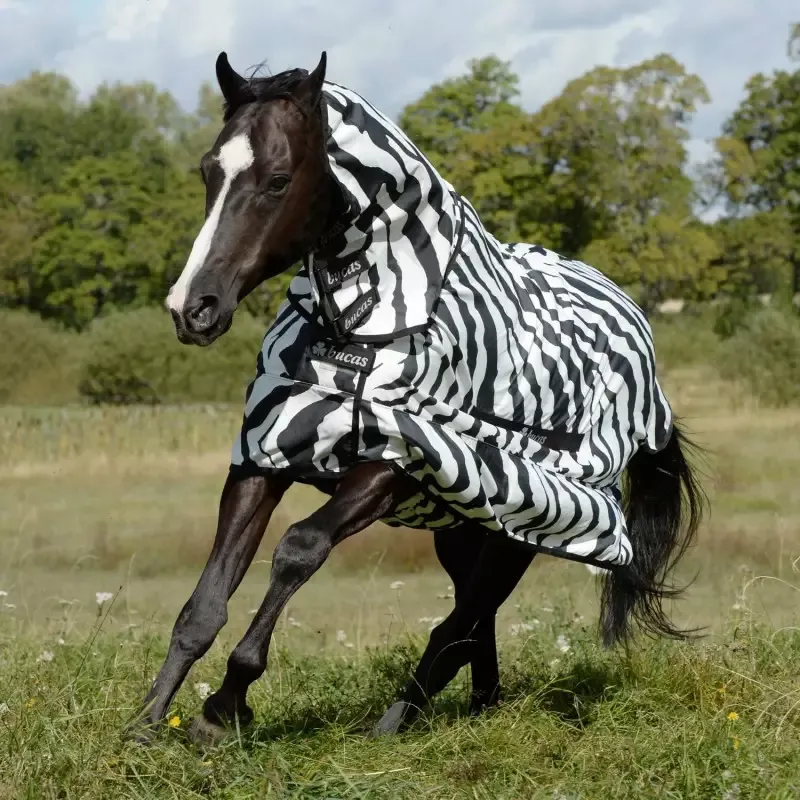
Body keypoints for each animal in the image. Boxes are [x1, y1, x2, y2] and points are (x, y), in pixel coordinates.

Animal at [128, 51, 704, 744]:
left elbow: (298, 549)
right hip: (463, 530)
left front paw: (225, 705)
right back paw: (475, 708)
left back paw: (396, 720)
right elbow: (204, 603)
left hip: (523, 525)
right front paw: (146, 723)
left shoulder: (397, 463)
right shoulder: (264, 455)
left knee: (461, 621)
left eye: (277, 179)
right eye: (208, 171)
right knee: (472, 621)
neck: (364, 329)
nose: (193, 308)